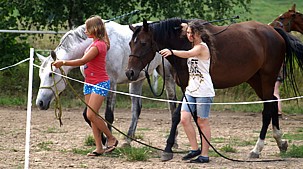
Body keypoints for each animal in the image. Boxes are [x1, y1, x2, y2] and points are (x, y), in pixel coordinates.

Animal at [35, 20, 178, 146]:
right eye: (40, 75)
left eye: (51, 74)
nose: (40, 103)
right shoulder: (92, 84)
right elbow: (88, 114)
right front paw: (103, 140)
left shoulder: (111, 84)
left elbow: (108, 115)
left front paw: (109, 143)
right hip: (137, 79)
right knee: (136, 109)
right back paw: (128, 140)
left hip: (167, 74)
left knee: (172, 103)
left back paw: (174, 142)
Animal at [125, 17, 303, 161]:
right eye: (130, 43)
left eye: (143, 43)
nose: (130, 72)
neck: (185, 44)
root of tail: (274, 31)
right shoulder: (188, 89)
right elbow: (193, 116)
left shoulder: (189, 87)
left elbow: (177, 116)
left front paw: (168, 149)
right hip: (255, 79)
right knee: (273, 102)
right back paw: (280, 142)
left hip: (267, 78)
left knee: (267, 109)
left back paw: (256, 149)